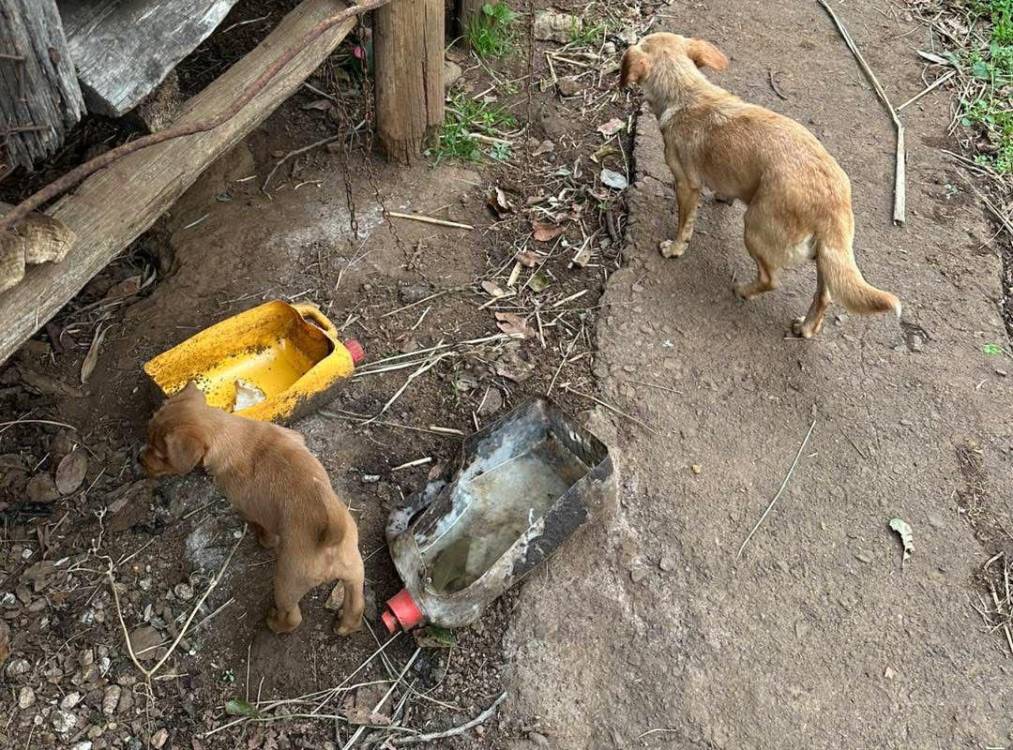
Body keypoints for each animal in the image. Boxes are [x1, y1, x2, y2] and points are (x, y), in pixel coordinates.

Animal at [140, 383, 366, 636]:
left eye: (161, 455)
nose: (139, 459)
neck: (226, 432)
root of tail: (329, 539)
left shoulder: (248, 509)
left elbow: (261, 528)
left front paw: (264, 541)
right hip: (355, 572)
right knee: (356, 605)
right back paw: (345, 627)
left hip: (287, 582)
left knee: (293, 617)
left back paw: (274, 622)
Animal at [619, 32, 899, 336]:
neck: (687, 92)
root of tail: (831, 205)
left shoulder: (686, 185)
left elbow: (684, 225)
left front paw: (674, 248)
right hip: (828, 259)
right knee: (824, 296)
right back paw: (806, 328)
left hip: (754, 229)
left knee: (770, 280)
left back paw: (743, 290)